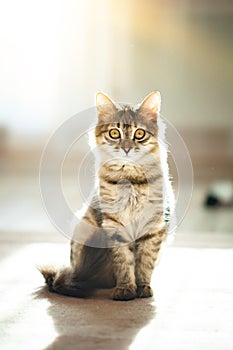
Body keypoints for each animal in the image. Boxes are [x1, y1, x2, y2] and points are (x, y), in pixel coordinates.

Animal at [41, 91, 174, 300]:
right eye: (114, 133)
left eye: (139, 134)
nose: (126, 148)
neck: (129, 179)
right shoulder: (115, 226)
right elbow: (124, 263)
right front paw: (126, 289)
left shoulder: (153, 228)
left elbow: (145, 264)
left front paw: (143, 288)